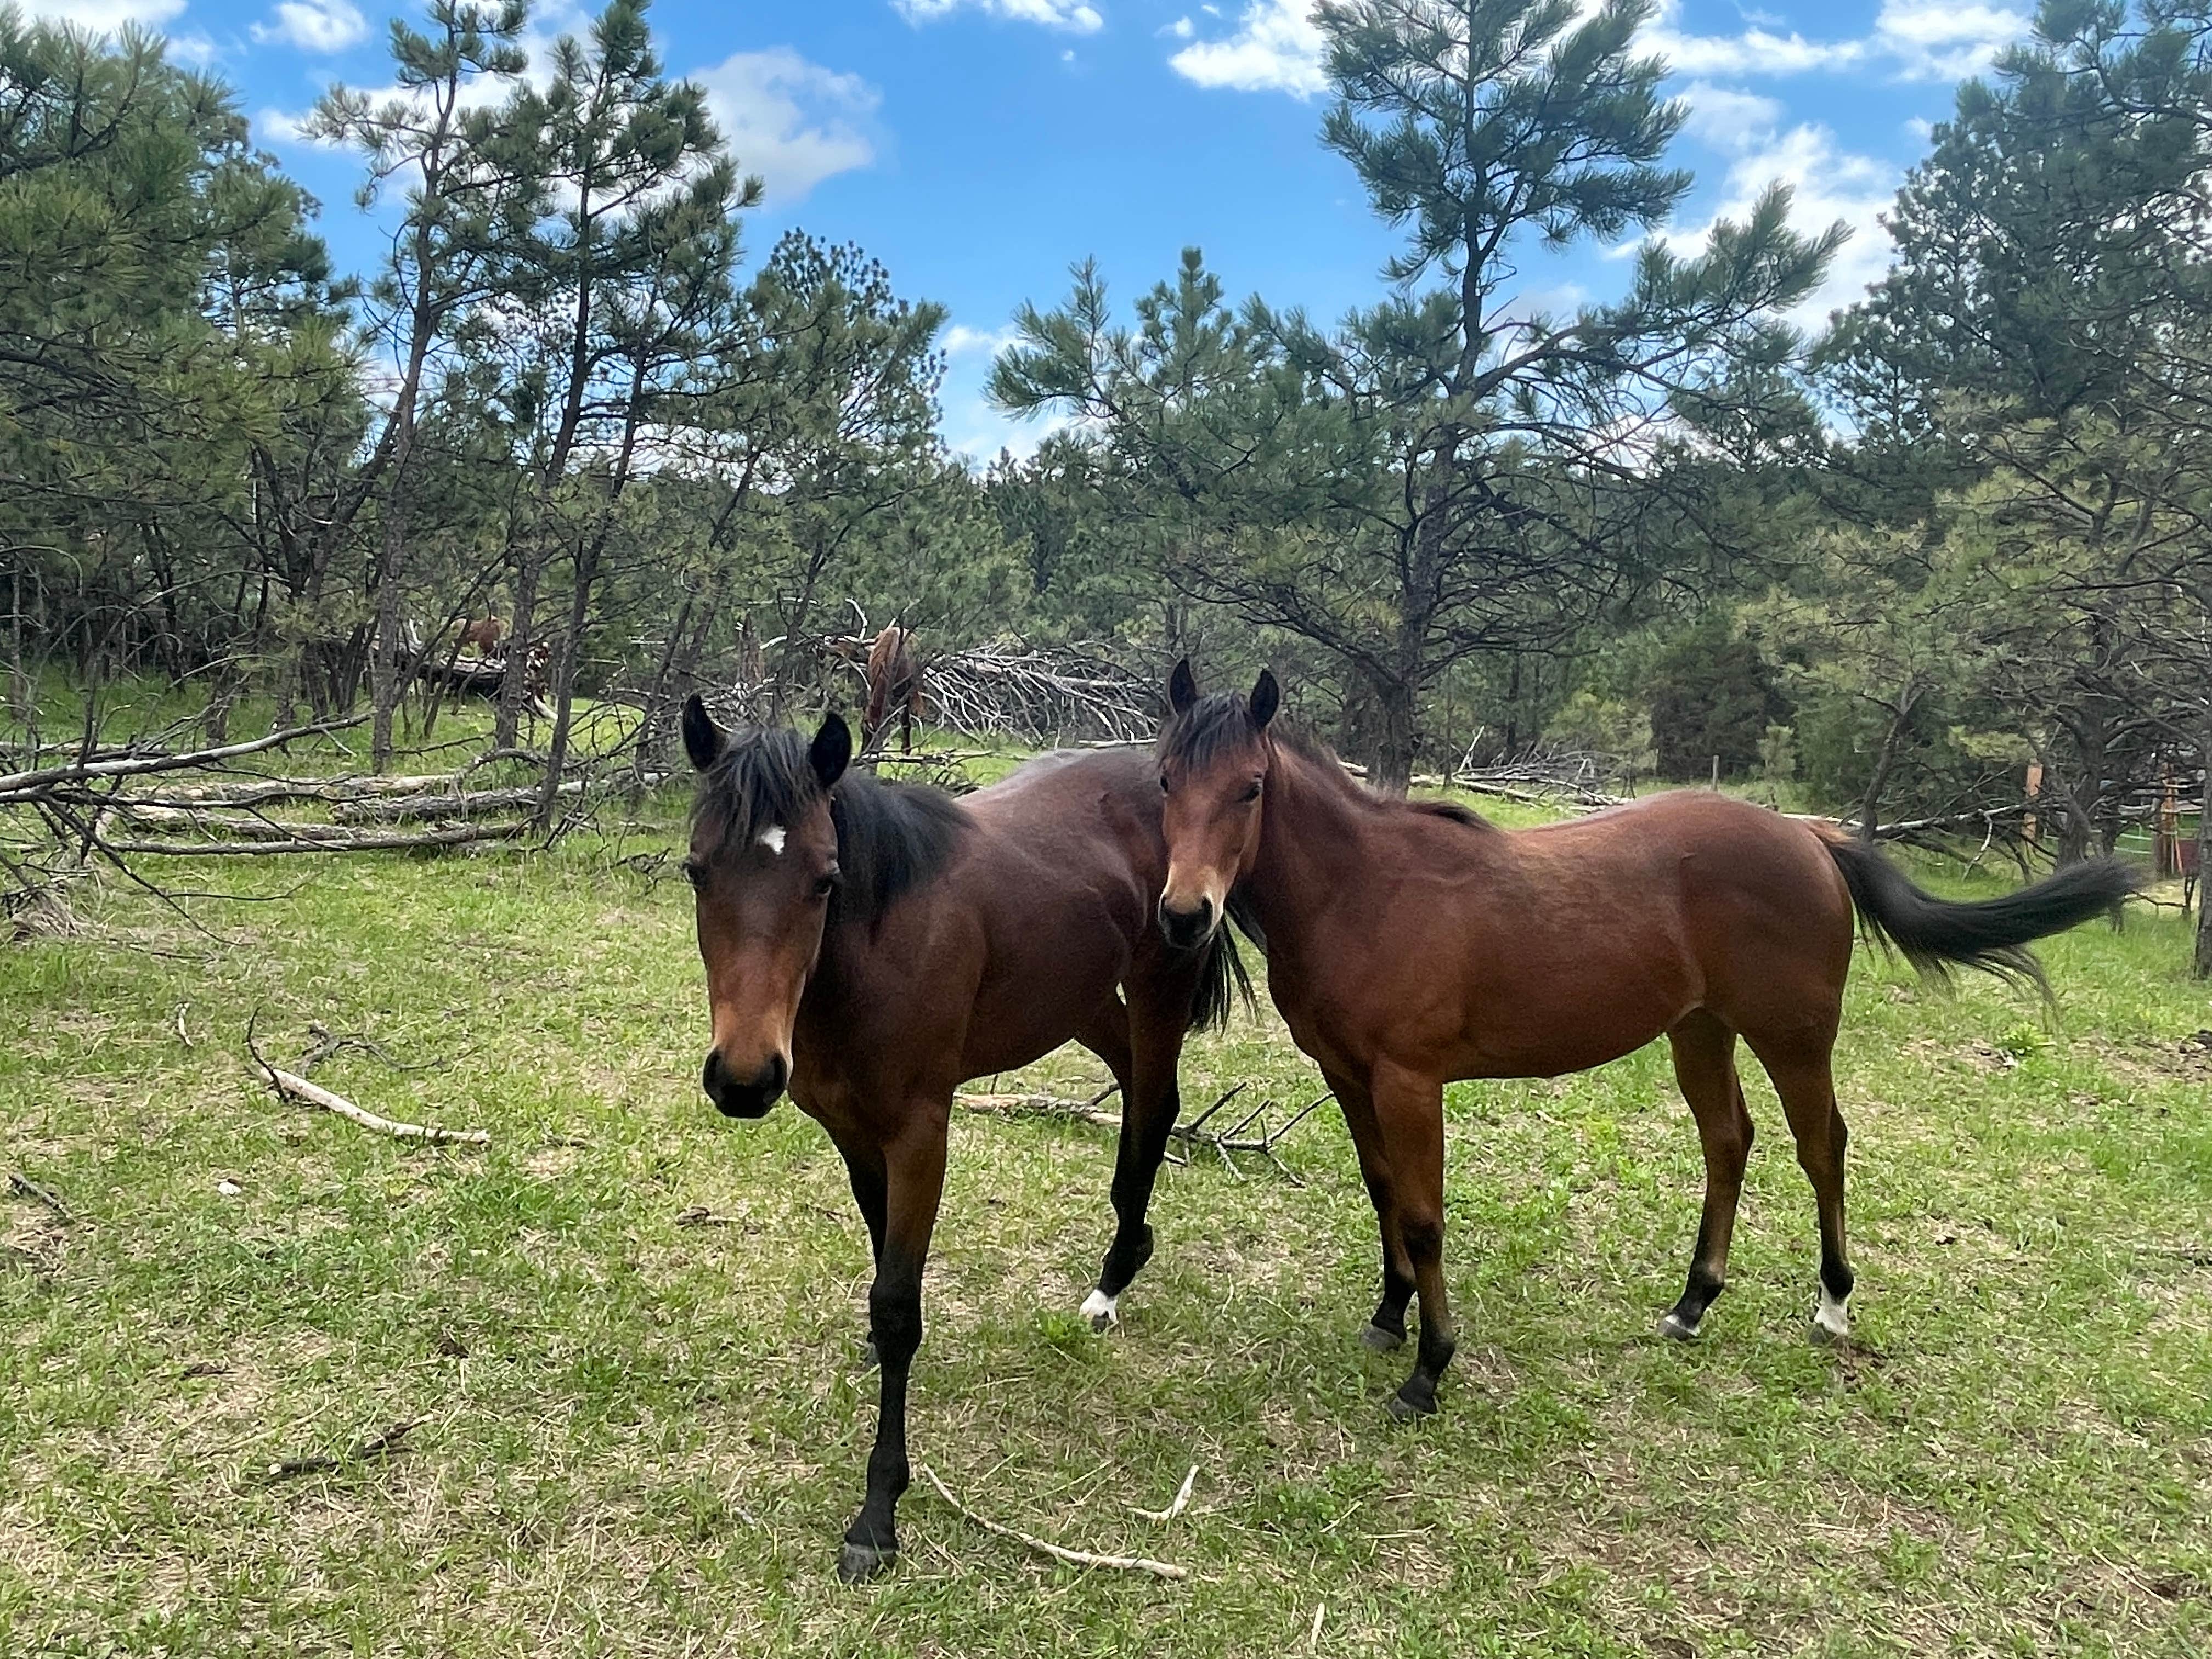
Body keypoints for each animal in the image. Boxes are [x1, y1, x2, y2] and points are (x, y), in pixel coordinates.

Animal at [678, 695, 1243, 1579]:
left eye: (825, 880)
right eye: (697, 871)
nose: (744, 1077)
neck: (873, 947)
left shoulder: (920, 1137)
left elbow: (898, 1306)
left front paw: (877, 1514)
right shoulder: (854, 1135)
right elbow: (882, 1264)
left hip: (1161, 989)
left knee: (1155, 1105)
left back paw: (1115, 1279)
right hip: (1079, 999)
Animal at [861, 625, 923, 755]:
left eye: (876, 735)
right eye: (863, 731)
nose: (864, 752)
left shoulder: (906, 695)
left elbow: (906, 722)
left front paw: (906, 749)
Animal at [1152, 661, 2139, 1422]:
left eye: (1250, 787)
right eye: (1164, 780)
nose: (1183, 915)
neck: (1367, 891)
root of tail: (1811, 838)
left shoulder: (1407, 1081)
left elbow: (1425, 1217)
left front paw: (1429, 1370)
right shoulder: (1348, 1074)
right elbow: (1383, 1192)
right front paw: (1390, 1316)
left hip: (1792, 1039)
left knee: (1821, 1145)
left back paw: (1831, 1303)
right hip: (1700, 1033)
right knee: (1729, 1142)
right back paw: (1692, 1303)